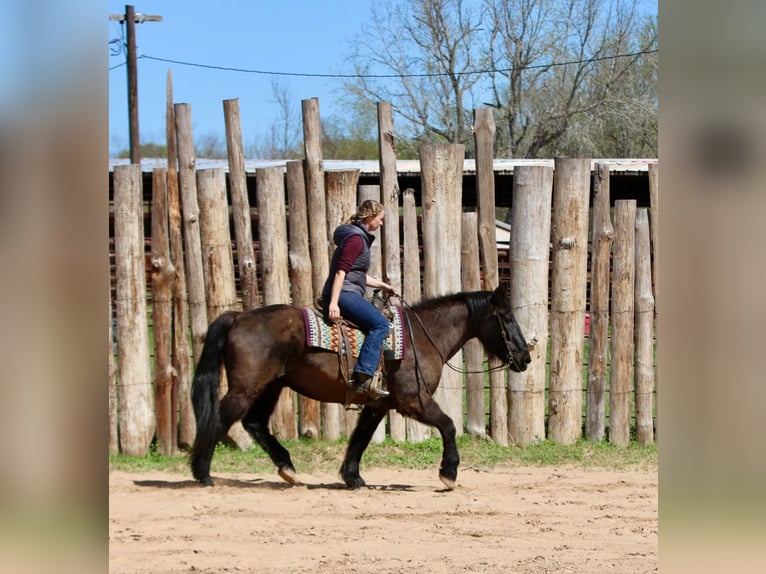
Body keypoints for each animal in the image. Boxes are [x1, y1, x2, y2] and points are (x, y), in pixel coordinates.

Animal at [190, 283, 531, 490]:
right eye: (506, 318)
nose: (525, 357)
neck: (421, 338)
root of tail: (238, 317)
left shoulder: (379, 403)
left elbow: (360, 438)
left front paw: (352, 477)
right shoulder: (413, 400)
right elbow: (448, 425)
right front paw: (448, 473)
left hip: (270, 386)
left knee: (254, 423)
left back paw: (287, 467)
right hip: (245, 388)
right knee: (219, 419)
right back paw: (202, 473)